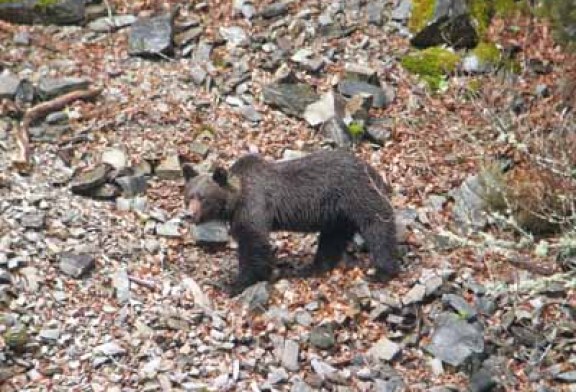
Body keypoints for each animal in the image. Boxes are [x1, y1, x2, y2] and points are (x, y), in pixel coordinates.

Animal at [182, 150, 398, 294]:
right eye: (189, 196)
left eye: (203, 198)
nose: (189, 215)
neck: (235, 200)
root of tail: (374, 171)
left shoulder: (254, 205)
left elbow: (254, 244)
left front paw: (234, 283)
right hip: (338, 214)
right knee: (332, 239)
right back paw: (313, 268)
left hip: (356, 193)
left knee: (377, 225)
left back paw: (382, 271)